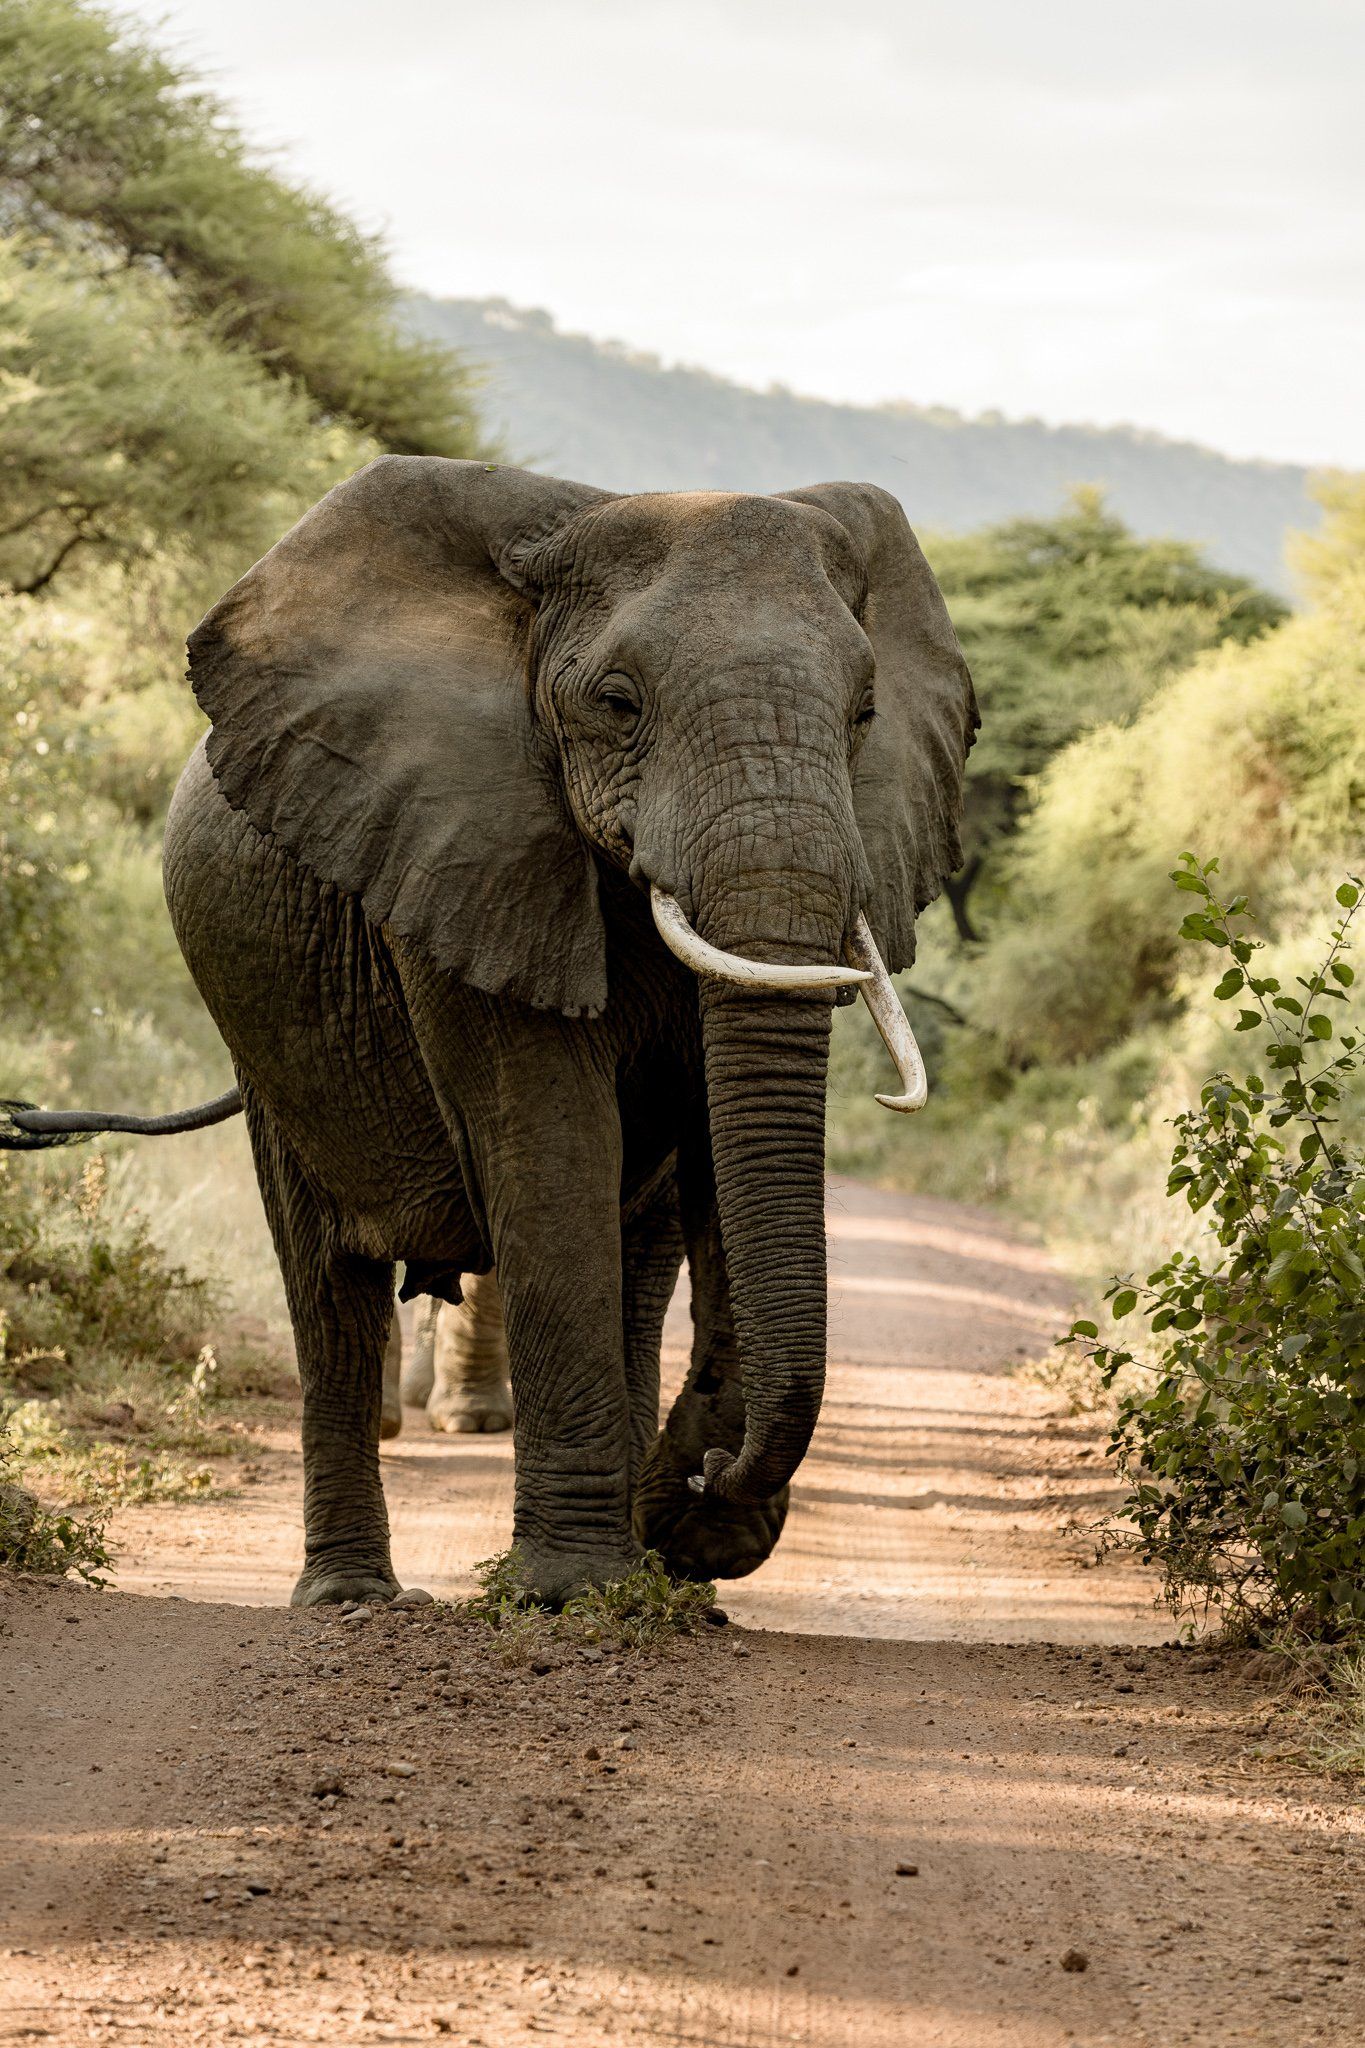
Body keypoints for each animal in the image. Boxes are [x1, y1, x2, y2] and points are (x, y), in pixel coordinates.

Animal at [1, 458, 976, 1607]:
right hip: (265, 1035)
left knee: (636, 1258)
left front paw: (667, 1553)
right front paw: (574, 1593)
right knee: (329, 1285)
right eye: (617, 704)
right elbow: (548, 1143)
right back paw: (354, 1597)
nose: (705, 1475)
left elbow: (709, 1153)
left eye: (866, 711)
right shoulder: (462, 847)